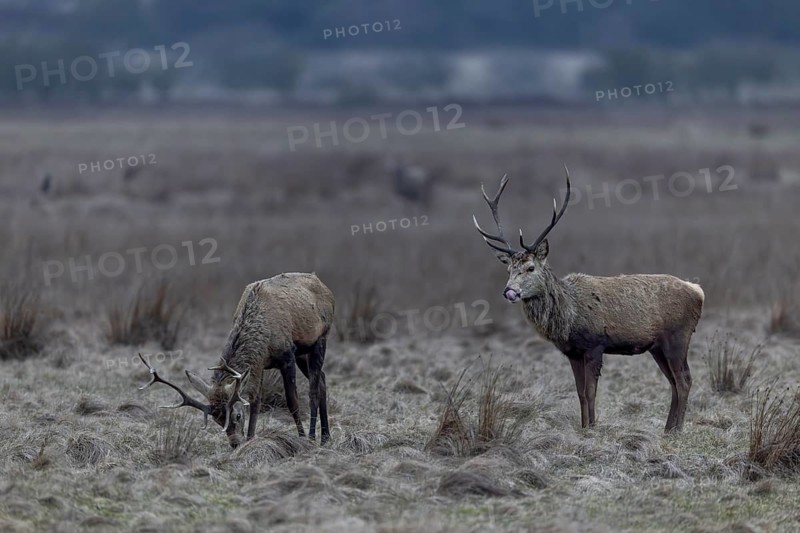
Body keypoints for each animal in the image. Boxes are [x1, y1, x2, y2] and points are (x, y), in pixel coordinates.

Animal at [139, 272, 334, 448]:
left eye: (237, 415)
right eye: (216, 420)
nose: (234, 444)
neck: (264, 339)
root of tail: (327, 290)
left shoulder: (287, 354)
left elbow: (292, 401)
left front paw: (301, 440)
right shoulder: (259, 364)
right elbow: (255, 401)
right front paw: (251, 439)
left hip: (320, 338)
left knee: (313, 388)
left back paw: (313, 437)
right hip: (303, 353)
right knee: (323, 379)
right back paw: (326, 437)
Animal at [473, 167, 704, 432]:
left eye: (531, 267)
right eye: (509, 269)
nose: (509, 291)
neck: (568, 318)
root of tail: (699, 291)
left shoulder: (595, 344)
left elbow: (591, 392)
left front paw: (592, 428)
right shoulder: (573, 352)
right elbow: (580, 393)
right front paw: (583, 427)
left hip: (678, 336)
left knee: (684, 380)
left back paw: (678, 429)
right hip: (657, 346)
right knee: (674, 382)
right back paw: (667, 429)